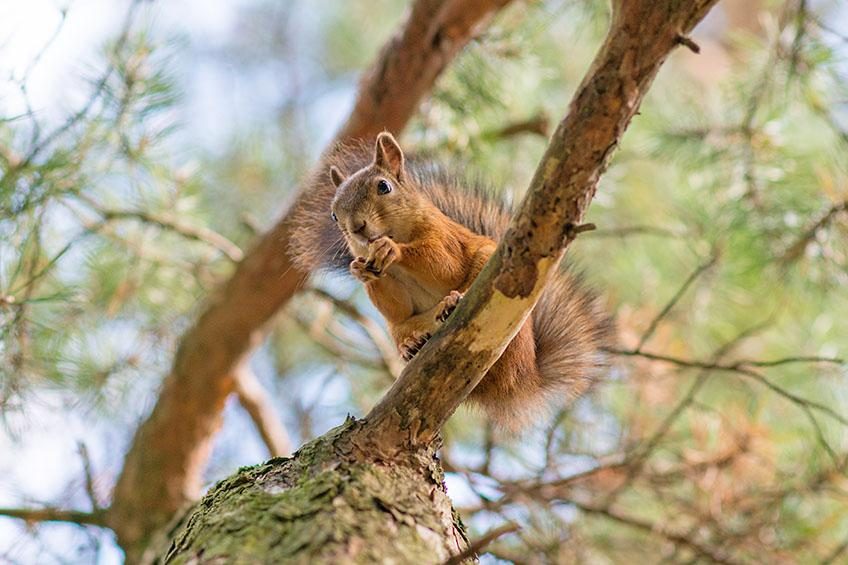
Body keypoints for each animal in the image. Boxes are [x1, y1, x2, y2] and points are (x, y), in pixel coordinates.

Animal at [292, 132, 608, 430]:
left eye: (384, 187)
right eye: (334, 215)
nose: (357, 228)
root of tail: (522, 378)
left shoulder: (446, 237)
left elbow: (443, 264)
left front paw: (394, 251)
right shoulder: (393, 294)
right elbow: (396, 306)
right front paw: (361, 270)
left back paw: (451, 303)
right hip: (399, 329)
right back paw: (413, 345)